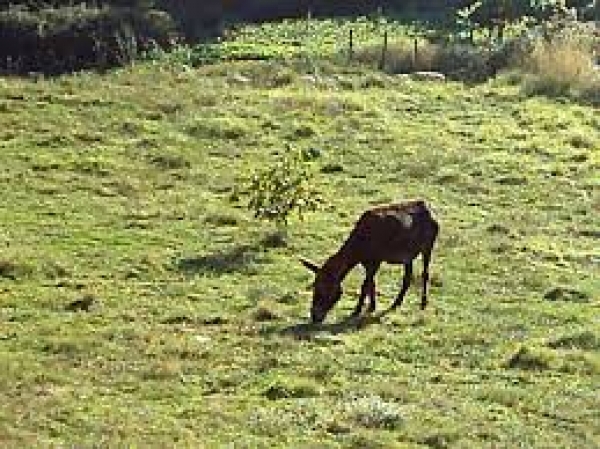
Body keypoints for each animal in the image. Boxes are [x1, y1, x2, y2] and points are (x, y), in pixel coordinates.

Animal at [302, 200, 438, 322]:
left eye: (323, 290)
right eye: (314, 287)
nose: (314, 317)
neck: (358, 249)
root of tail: (431, 210)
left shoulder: (376, 260)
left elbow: (365, 285)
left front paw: (356, 311)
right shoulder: (367, 263)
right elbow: (371, 283)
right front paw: (372, 307)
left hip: (428, 246)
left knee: (425, 274)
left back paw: (423, 303)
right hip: (408, 255)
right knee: (407, 278)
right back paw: (396, 303)